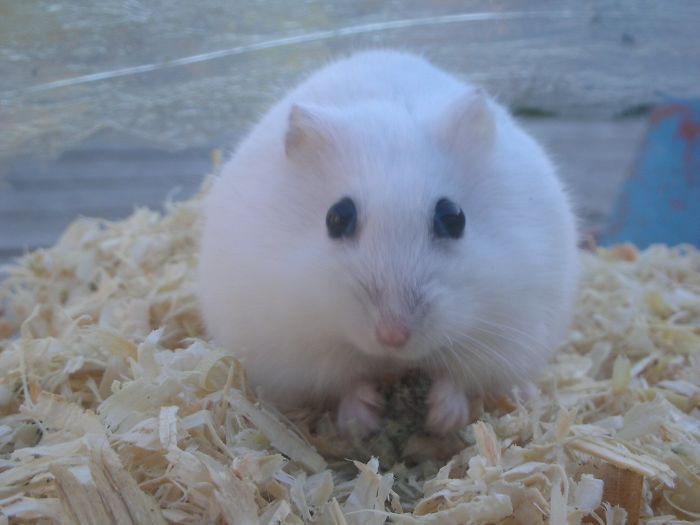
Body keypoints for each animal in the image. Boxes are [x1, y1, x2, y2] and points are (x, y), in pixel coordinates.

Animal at [197, 50, 579, 436]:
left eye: (454, 217)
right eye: (337, 217)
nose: (393, 337)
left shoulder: (506, 333)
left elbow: (458, 379)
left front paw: (443, 417)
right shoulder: (294, 347)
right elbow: (343, 382)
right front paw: (363, 418)